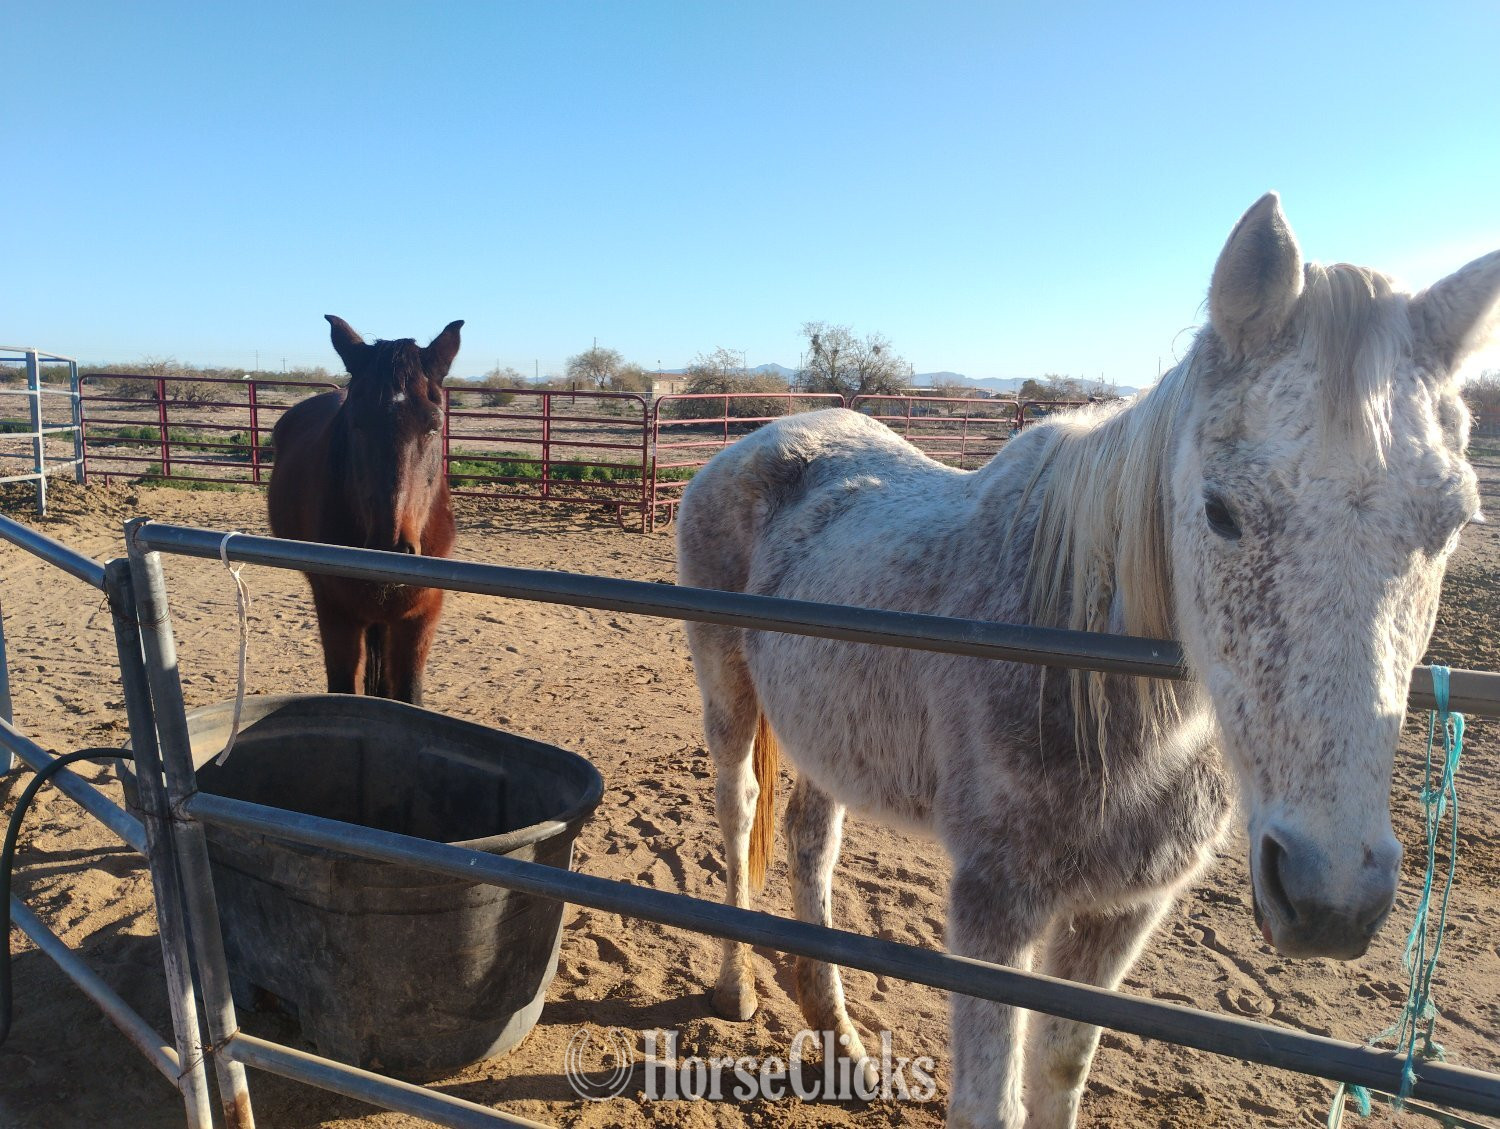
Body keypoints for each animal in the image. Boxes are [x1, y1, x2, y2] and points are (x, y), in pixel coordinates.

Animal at [267, 315, 461, 705]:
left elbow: (408, 695)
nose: (391, 548)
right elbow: (344, 687)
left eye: (435, 425)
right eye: (356, 422)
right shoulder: (336, 612)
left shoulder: (421, 616)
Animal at [677, 194, 1500, 1129]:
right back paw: (738, 987)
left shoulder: (1121, 913)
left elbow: (1059, 1070)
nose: (1330, 896)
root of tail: (768, 434)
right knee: (739, 812)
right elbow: (990, 1100)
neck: (1086, 682)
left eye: (1455, 522)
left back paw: (836, 1030)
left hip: (829, 732)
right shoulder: (994, 910)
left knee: (812, 843)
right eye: (1219, 510)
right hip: (727, 690)